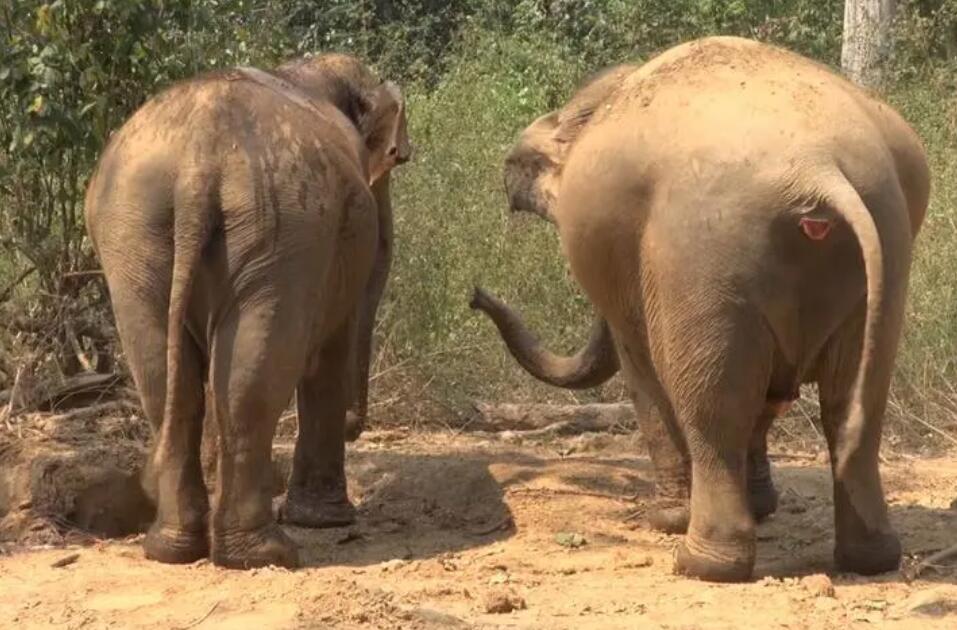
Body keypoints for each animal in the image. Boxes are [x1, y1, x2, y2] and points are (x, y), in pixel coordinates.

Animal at [84, 53, 411, 569]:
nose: (357, 427)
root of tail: (198, 164)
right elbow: (327, 356)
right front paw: (328, 521)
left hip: (138, 234)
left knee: (166, 377)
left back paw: (174, 547)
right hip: (283, 231)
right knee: (252, 376)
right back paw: (264, 552)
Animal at [470, 37, 929, 582]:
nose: (476, 295)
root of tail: (817, 171)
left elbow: (643, 374)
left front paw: (666, 519)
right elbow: (769, 394)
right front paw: (762, 506)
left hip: (707, 254)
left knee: (716, 405)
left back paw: (701, 562)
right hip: (880, 249)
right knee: (855, 401)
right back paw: (871, 559)